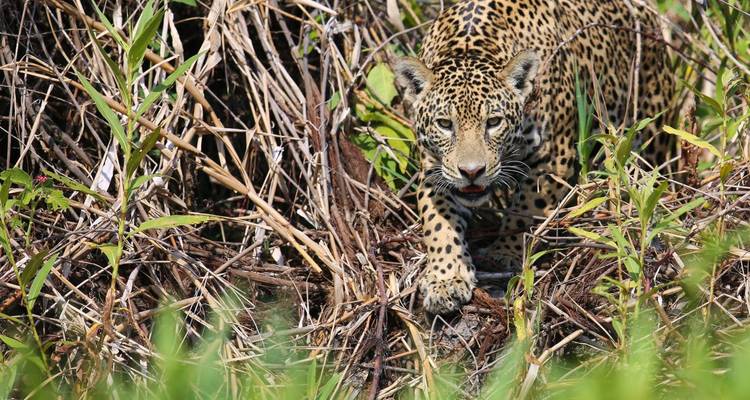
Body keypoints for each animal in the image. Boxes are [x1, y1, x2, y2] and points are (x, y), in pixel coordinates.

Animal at [394, 0, 675, 314]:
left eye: (493, 122)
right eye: (445, 124)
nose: (472, 172)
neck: (469, 47)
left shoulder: (553, 158)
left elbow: (526, 212)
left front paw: (504, 253)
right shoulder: (434, 169)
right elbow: (439, 223)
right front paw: (446, 278)